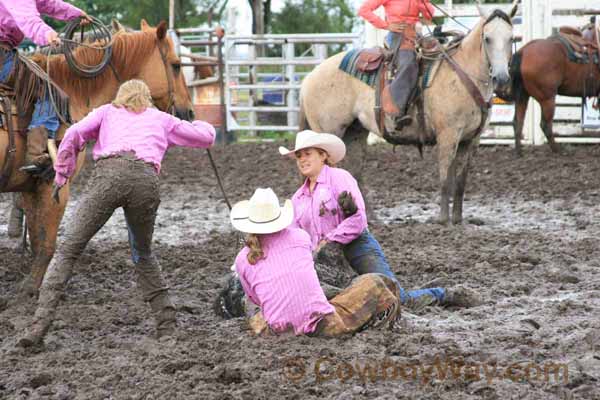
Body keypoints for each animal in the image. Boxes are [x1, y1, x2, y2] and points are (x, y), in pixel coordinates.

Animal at [298, 0, 516, 225]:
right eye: (487, 38)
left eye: (511, 38)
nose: (501, 78)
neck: (463, 74)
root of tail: (310, 77)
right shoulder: (448, 135)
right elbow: (445, 177)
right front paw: (443, 220)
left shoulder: (471, 140)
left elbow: (461, 181)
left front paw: (457, 219)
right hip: (329, 132)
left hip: (355, 131)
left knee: (354, 172)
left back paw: (369, 217)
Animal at [496, 25, 600, 156]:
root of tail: (523, 51)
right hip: (547, 98)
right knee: (545, 124)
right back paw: (558, 150)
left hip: (522, 96)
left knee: (517, 122)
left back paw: (519, 152)